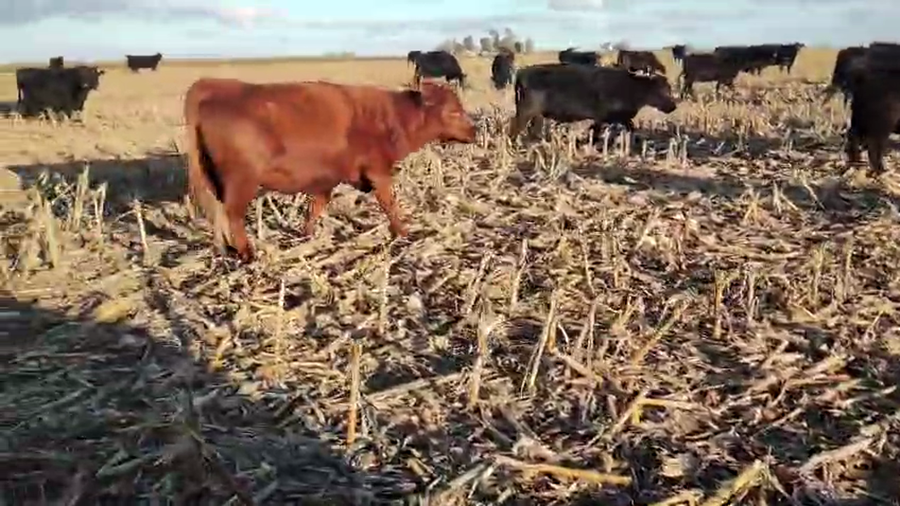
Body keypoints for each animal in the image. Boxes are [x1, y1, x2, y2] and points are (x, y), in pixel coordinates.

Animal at [183, 78, 476, 262]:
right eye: (453, 112)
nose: (474, 131)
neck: (392, 118)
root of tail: (214, 85)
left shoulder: (326, 180)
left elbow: (315, 208)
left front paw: (307, 236)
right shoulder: (378, 172)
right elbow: (390, 203)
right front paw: (404, 234)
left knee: (219, 212)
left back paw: (225, 248)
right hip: (241, 180)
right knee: (232, 214)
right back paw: (247, 253)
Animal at [508, 63, 677, 145]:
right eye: (660, 88)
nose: (673, 106)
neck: (631, 85)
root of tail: (522, 72)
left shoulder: (617, 118)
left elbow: (629, 128)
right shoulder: (604, 117)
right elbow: (596, 131)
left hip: (535, 114)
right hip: (527, 111)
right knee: (516, 126)